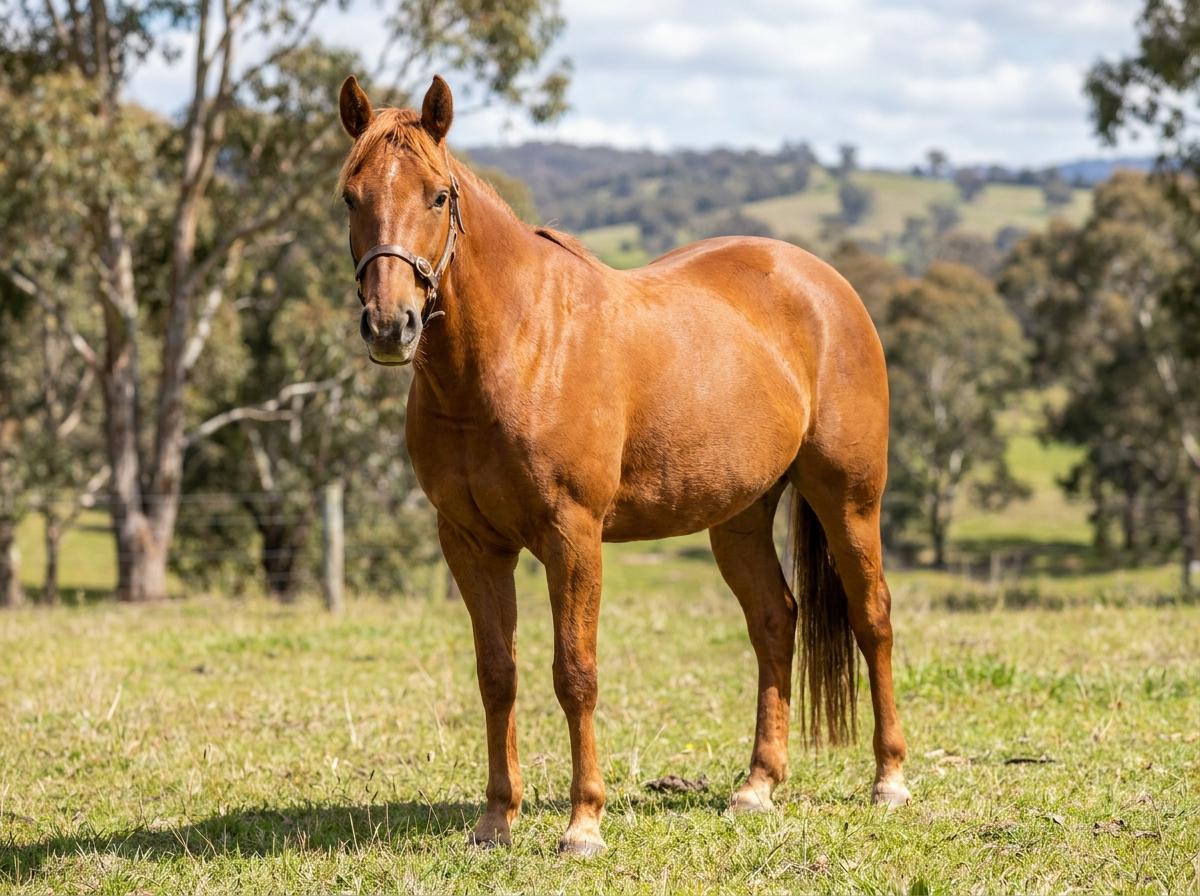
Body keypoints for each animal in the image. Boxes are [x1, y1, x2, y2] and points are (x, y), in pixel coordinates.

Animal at [336, 74, 910, 856]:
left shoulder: (572, 537)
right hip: (740, 516)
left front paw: (584, 822)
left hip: (848, 498)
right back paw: (757, 786)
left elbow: (574, 673)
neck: (518, 347)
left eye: (438, 194)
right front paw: (496, 820)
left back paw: (889, 779)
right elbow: (497, 675)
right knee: (775, 619)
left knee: (871, 617)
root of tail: (826, 283)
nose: (391, 325)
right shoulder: (471, 543)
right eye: (350, 196)